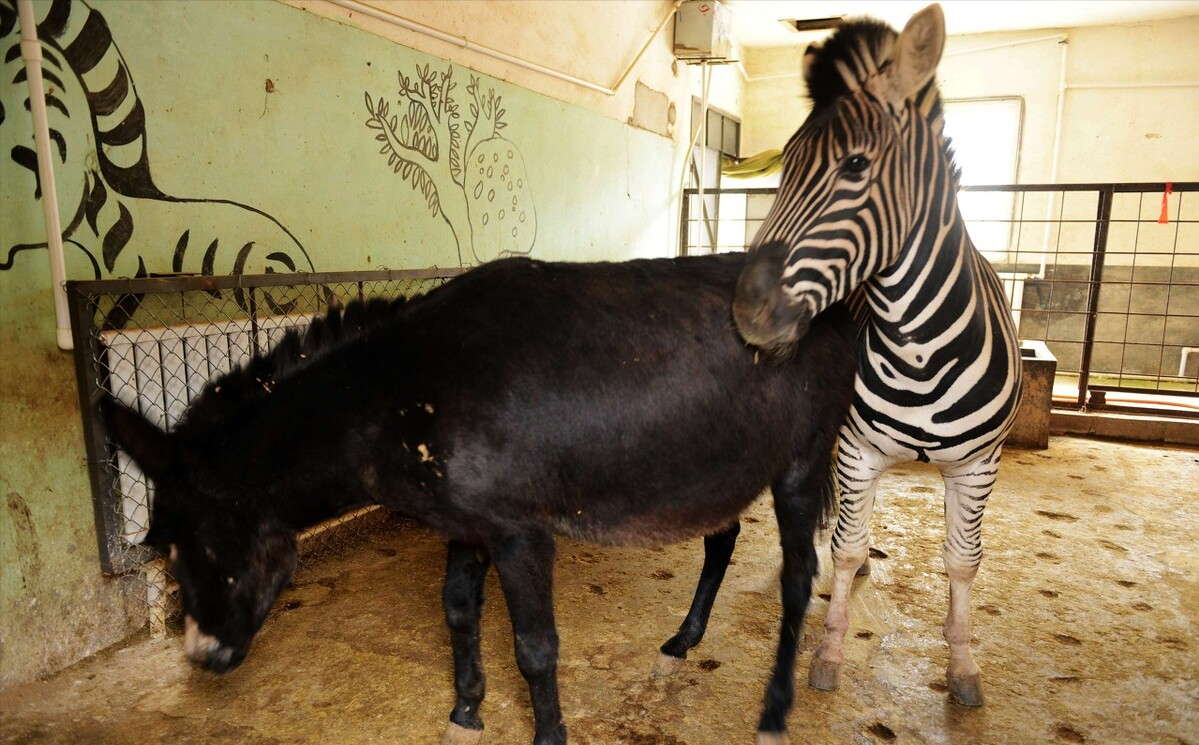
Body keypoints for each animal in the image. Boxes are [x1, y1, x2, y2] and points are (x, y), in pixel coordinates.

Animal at [728, 2, 1021, 705]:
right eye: (783, 166)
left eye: (856, 167)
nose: (747, 312)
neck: (920, 352)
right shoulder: (858, 451)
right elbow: (848, 547)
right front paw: (829, 651)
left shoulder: (978, 466)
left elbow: (962, 561)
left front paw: (963, 665)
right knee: (837, 524)